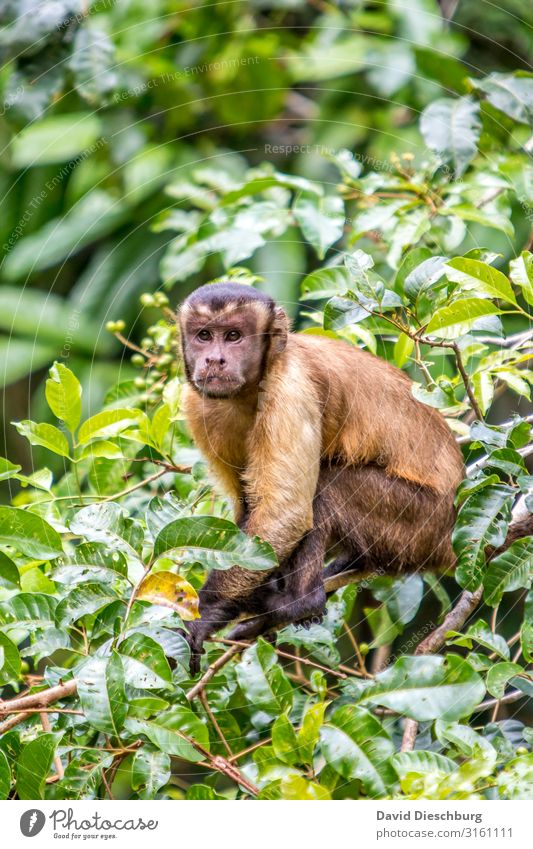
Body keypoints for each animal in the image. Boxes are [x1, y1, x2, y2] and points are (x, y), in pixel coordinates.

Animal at [178, 282, 470, 672]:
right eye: (204, 336)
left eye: (234, 336)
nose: (214, 359)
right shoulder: (199, 406)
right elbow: (251, 509)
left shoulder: (290, 389)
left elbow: (285, 514)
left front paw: (202, 615)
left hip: (424, 524)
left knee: (326, 486)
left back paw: (302, 601)